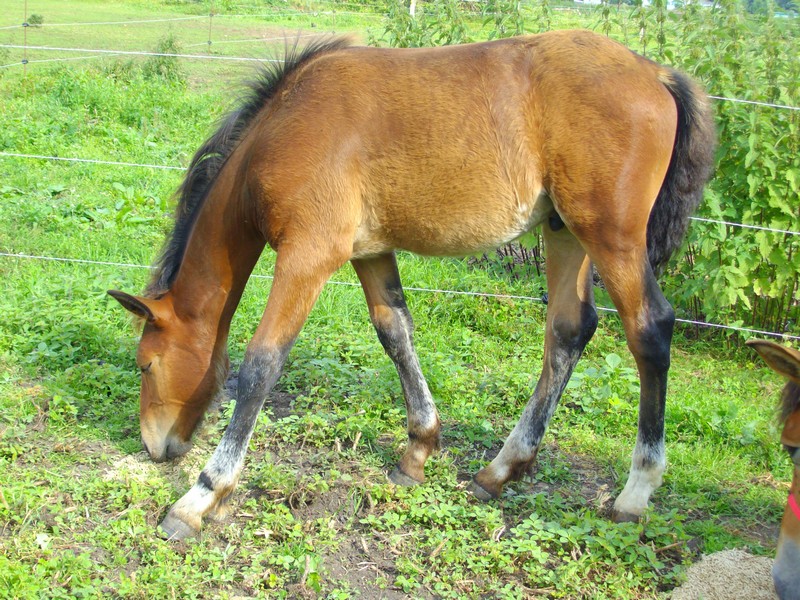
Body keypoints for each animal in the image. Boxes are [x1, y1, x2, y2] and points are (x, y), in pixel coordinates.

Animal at [108, 30, 720, 540]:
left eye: (145, 364)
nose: (157, 447)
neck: (283, 126)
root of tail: (656, 72)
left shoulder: (308, 254)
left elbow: (261, 363)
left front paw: (200, 497)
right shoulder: (369, 251)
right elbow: (395, 333)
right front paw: (419, 450)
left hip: (611, 234)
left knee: (650, 329)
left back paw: (635, 492)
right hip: (564, 229)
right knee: (570, 330)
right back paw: (501, 470)